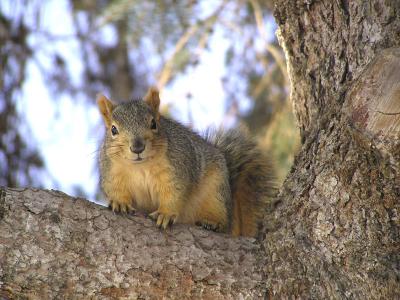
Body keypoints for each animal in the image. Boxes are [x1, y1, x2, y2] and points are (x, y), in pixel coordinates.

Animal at [97, 87, 276, 237]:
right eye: (113, 129)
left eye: (154, 123)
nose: (137, 147)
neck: (141, 166)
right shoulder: (112, 173)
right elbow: (116, 190)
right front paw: (120, 203)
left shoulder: (177, 168)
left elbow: (174, 193)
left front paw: (165, 213)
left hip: (216, 189)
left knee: (222, 218)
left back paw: (212, 222)